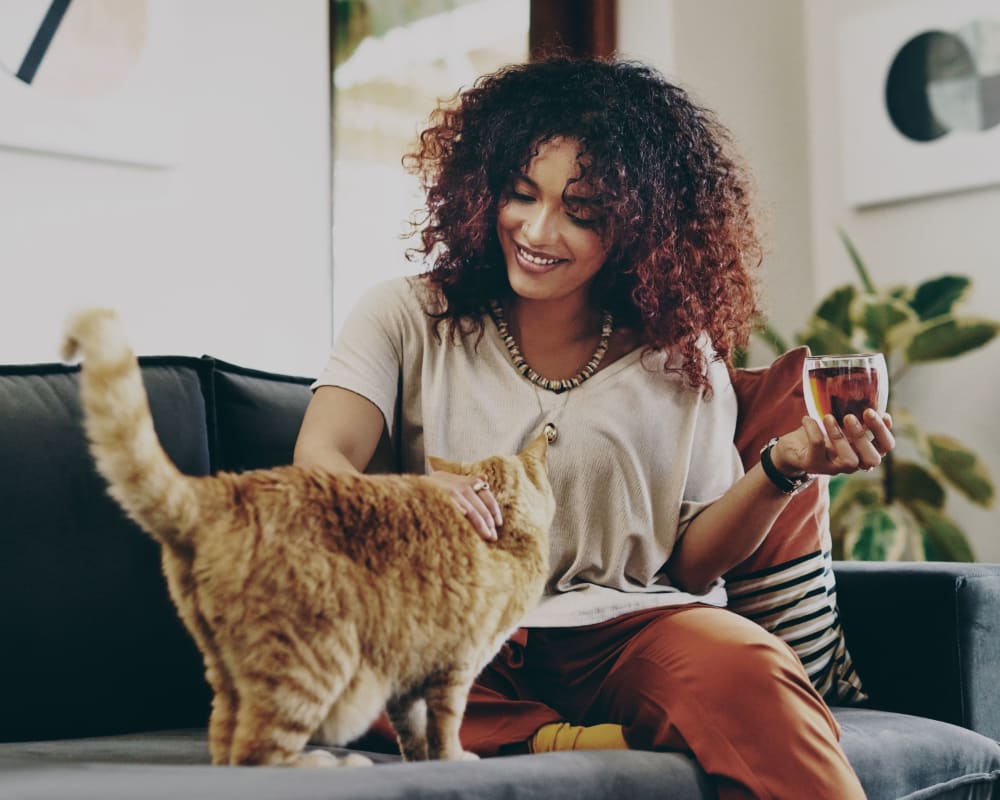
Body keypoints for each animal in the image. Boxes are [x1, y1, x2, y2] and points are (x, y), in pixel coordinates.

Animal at [62, 308, 556, 768]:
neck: (504, 537)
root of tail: (225, 489)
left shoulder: (408, 672)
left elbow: (413, 730)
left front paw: (421, 760)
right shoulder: (454, 666)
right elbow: (446, 724)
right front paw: (452, 759)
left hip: (228, 670)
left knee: (226, 747)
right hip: (316, 661)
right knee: (258, 754)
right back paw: (331, 763)